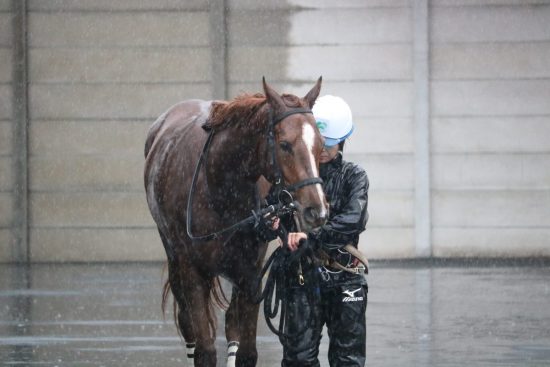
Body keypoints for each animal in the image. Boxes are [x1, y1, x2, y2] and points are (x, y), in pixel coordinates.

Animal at [144, 78, 330, 367]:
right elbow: (204, 350)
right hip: (175, 260)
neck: (217, 186)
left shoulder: (250, 273)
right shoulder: (192, 270)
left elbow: (246, 350)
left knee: (231, 323)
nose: (317, 210)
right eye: (285, 144)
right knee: (188, 324)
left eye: (320, 145)